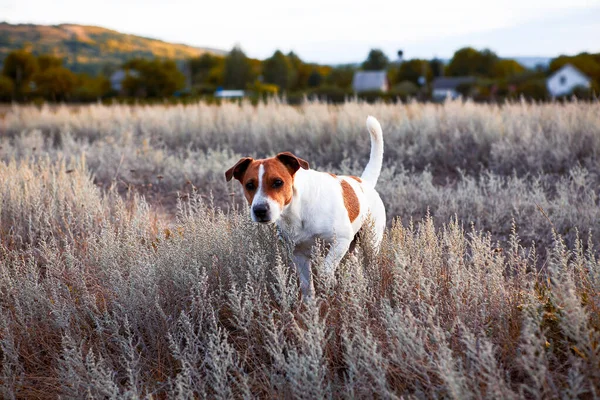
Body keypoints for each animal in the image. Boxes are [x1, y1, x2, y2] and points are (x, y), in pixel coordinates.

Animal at [224, 115, 384, 296]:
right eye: (249, 185)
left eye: (278, 182)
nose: (260, 210)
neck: (297, 211)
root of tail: (364, 182)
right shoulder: (298, 253)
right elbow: (307, 286)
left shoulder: (341, 240)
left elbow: (324, 270)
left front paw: (330, 287)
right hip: (352, 248)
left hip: (370, 244)